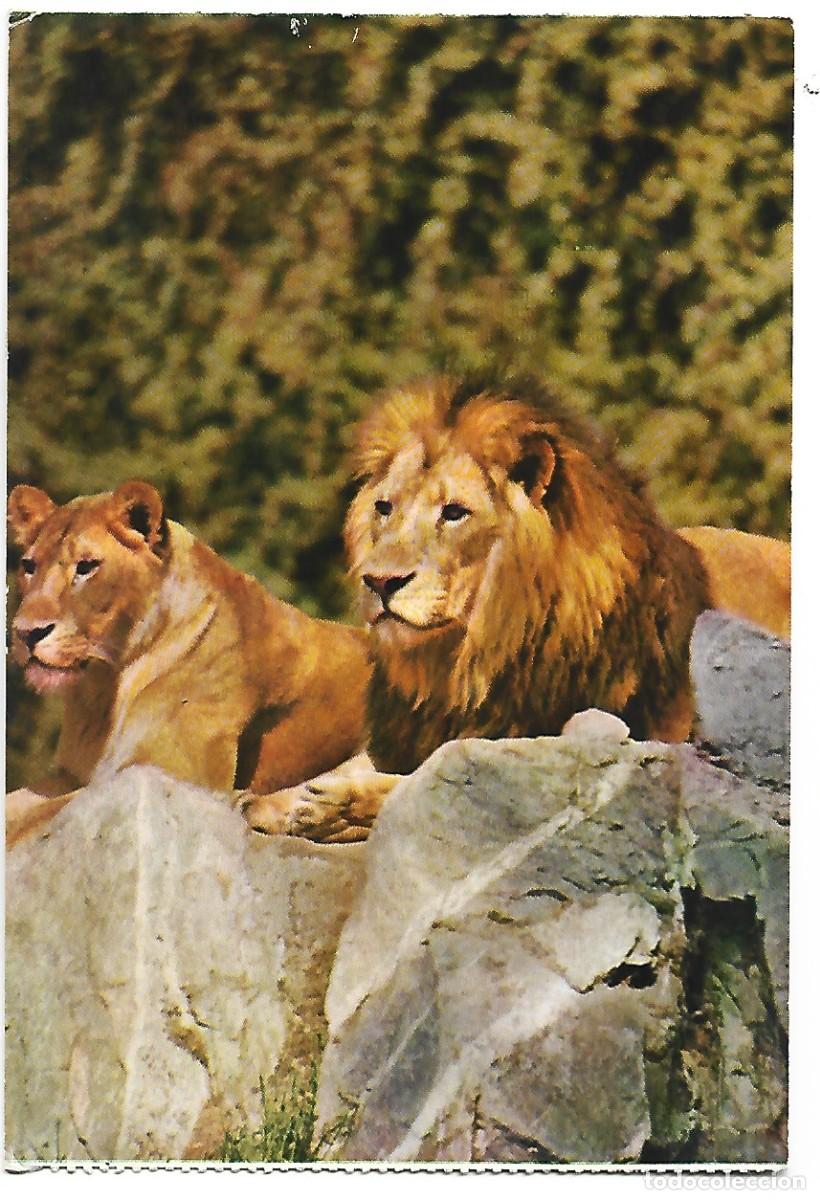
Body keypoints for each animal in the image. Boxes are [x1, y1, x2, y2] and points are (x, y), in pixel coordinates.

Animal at [6, 479, 371, 847]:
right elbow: (18, 804)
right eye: (29, 566)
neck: (105, 685)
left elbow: (37, 815)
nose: (26, 633)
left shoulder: (171, 777)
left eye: (86, 566)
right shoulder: (69, 773)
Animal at [243, 374, 790, 843]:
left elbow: (429, 778)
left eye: (454, 513)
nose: (379, 582)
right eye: (385, 508)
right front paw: (271, 800)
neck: (465, 663)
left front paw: (330, 807)